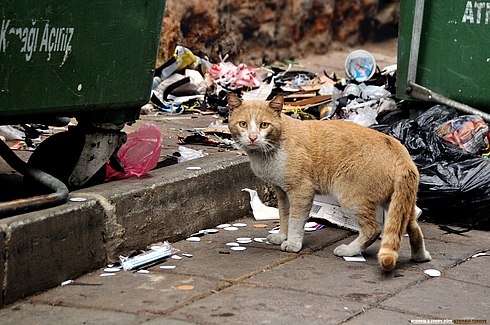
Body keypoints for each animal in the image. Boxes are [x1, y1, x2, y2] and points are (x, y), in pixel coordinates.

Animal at [228, 92, 430, 270]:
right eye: (243, 124)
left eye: (264, 125)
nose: (252, 137)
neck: (268, 153)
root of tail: (401, 152)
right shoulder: (282, 191)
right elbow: (284, 215)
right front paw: (281, 236)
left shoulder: (301, 191)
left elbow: (295, 220)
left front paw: (292, 243)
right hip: (397, 202)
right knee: (411, 227)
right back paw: (420, 256)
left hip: (352, 200)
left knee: (373, 230)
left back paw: (348, 250)